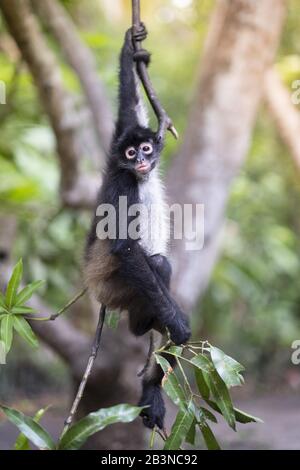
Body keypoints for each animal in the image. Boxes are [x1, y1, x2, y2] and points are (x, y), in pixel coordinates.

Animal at [84, 24, 190, 430]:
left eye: (145, 149)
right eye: (132, 155)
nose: (142, 161)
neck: (136, 176)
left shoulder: (121, 143)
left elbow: (128, 110)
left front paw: (131, 46)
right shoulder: (122, 183)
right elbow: (124, 248)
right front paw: (176, 321)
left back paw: (151, 391)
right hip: (116, 290)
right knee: (158, 263)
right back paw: (144, 328)